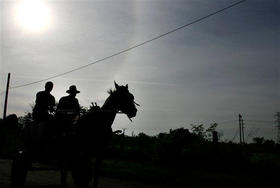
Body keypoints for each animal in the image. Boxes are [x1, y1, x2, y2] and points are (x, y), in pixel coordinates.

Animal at [10, 82, 138, 188]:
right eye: (124, 97)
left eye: (132, 96)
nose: (134, 111)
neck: (97, 122)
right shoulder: (84, 151)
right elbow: (83, 172)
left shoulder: (99, 151)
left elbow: (96, 173)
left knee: (63, 167)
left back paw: (63, 183)